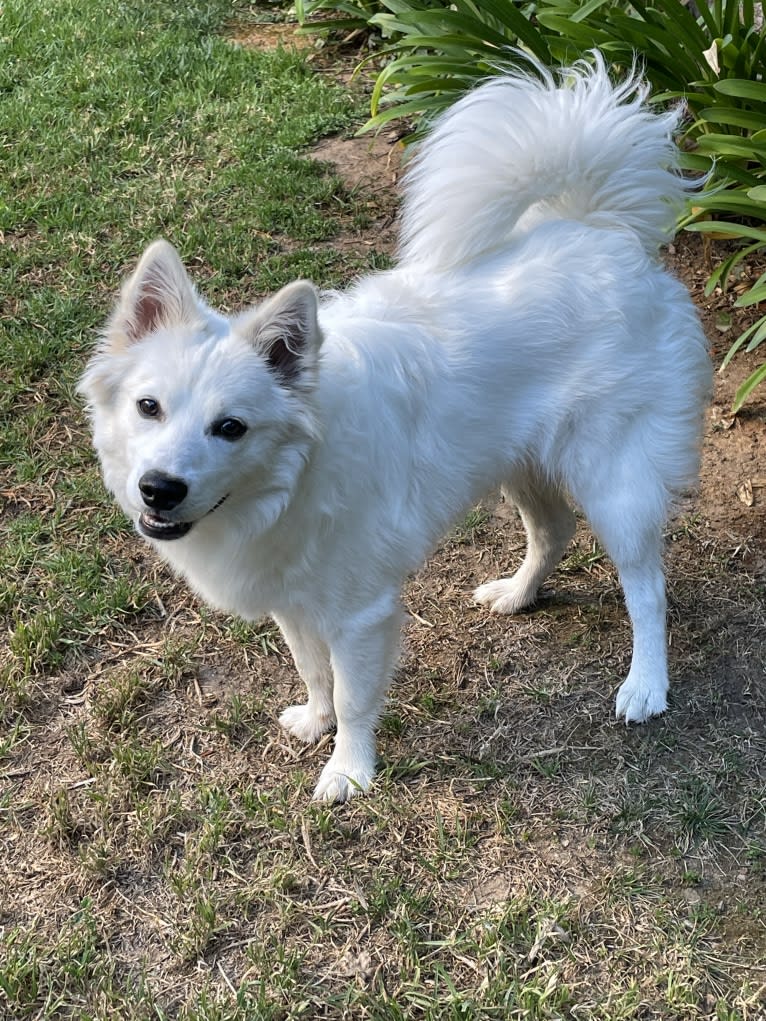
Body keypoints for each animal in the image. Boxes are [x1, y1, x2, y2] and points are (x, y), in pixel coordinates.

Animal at [79, 57, 714, 804]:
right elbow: (313, 669)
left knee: (646, 589)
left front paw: (349, 771)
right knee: (553, 531)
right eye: (148, 407)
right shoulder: (295, 595)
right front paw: (315, 721)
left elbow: (355, 694)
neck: (292, 479)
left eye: (230, 427)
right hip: (518, 463)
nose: (159, 489)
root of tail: (601, 231)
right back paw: (518, 594)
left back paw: (645, 684)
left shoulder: (360, 611)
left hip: (616, 483)